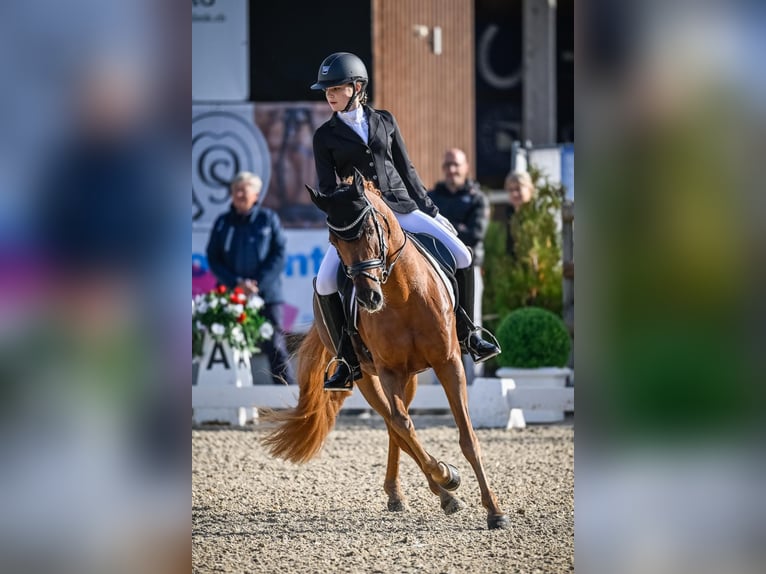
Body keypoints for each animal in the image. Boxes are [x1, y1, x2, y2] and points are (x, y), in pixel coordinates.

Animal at [264, 171, 510, 532]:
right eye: (333, 240)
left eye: (369, 229)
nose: (369, 298)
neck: (403, 292)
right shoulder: (389, 371)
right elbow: (405, 426)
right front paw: (447, 477)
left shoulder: (448, 363)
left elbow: (466, 436)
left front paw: (494, 510)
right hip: (367, 376)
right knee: (395, 423)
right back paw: (436, 492)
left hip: (411, 377)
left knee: (395, 425)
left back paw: (411, 493)